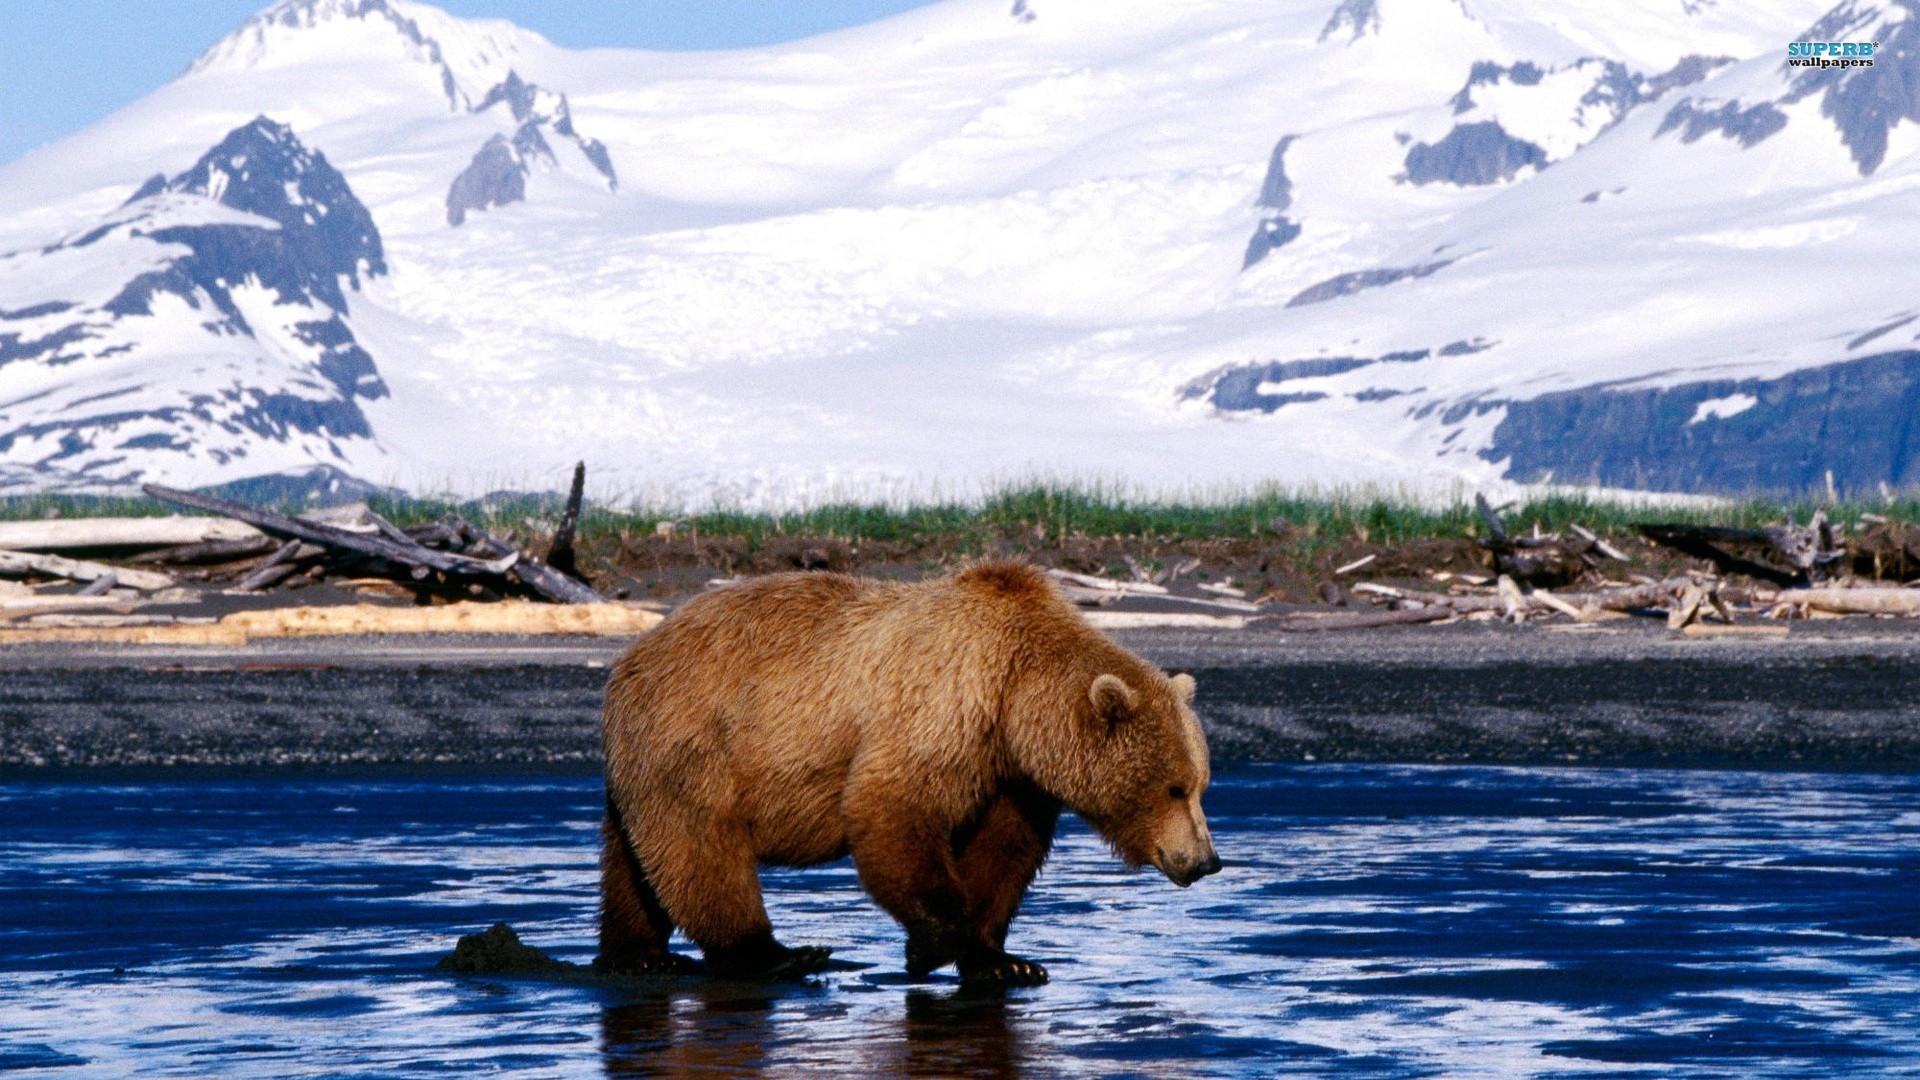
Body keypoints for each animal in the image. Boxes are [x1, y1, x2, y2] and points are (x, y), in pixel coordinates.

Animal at [599, 564, 1221, 983]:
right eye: (1173, 788)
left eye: (1200, 785)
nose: (1206, 860)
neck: (1015, 696)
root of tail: (630, 657)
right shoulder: (945, 706)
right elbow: (892, 807)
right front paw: (928, 948)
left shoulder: (1011, 775)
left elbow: (1003, 853)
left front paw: (1005, 962)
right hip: (699, 737)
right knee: (701, 846)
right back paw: (775, 954)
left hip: (648, 759)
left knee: (636, 859)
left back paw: (639, 954)